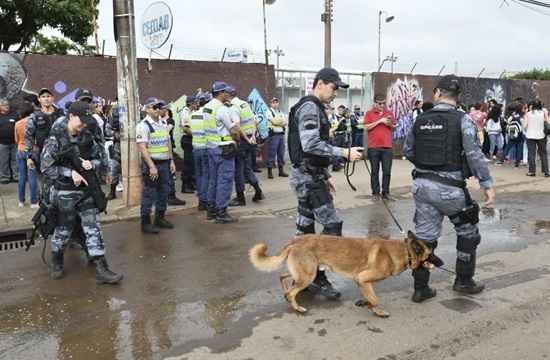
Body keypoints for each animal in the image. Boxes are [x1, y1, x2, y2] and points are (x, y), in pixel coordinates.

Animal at [250, 231, 436, 318]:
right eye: (432, 254)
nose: (440, 262)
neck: (405, 251)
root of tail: (295, 241)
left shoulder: (362, 281)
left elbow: (370, 296)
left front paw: (366, 303)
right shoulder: (362, 278)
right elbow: (375, 299)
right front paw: (378, 311)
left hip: (305, 272)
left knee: (283, 277)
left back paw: (286, 294)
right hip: (308, 275)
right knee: (291, 292)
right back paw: (297, 307)